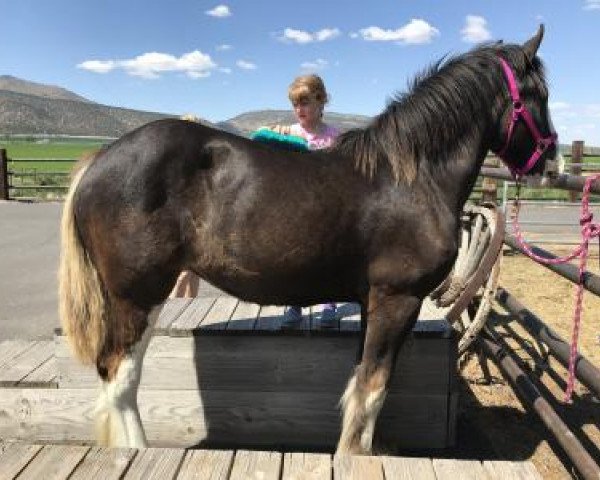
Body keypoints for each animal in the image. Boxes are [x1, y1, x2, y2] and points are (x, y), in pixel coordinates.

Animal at [59, 26, 556, 454]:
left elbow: (359, 384)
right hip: (138, 294)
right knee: (120, 377)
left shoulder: (373, 300)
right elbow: (374, 387)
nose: (549, 159)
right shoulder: (398, 298)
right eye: (540, 94)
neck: (410, 177)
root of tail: (101, 157)